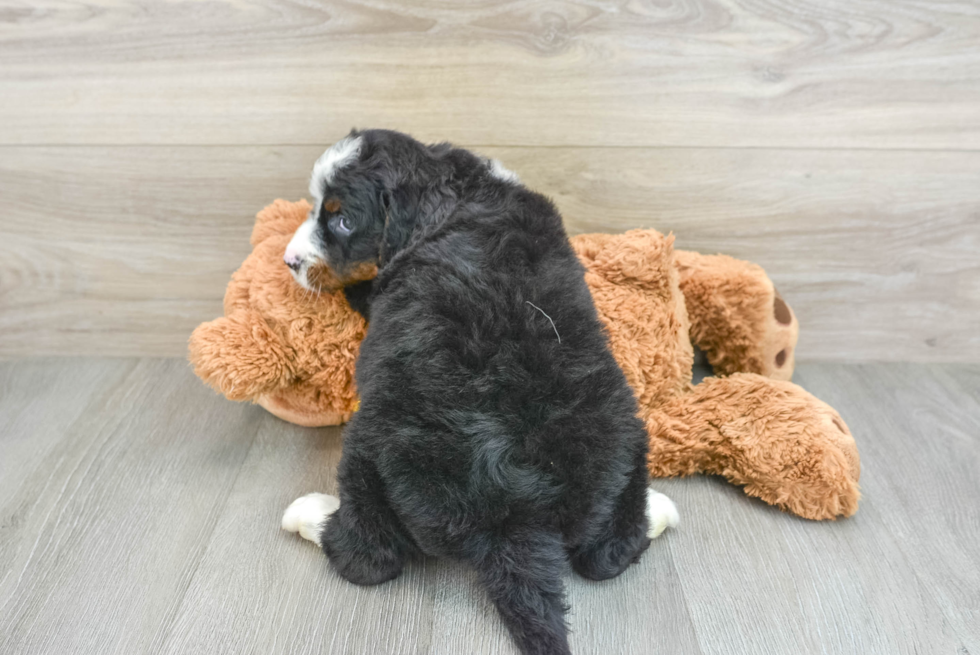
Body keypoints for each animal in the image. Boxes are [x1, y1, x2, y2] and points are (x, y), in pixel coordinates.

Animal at [284, 129, 676, 655]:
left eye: (343, 220)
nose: (288, 262)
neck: (454, 192)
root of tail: (517, 513)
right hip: (625, 435)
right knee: (608, 554)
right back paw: (657, 509)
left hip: (369, 450)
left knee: (368, 555)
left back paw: (310, 512)